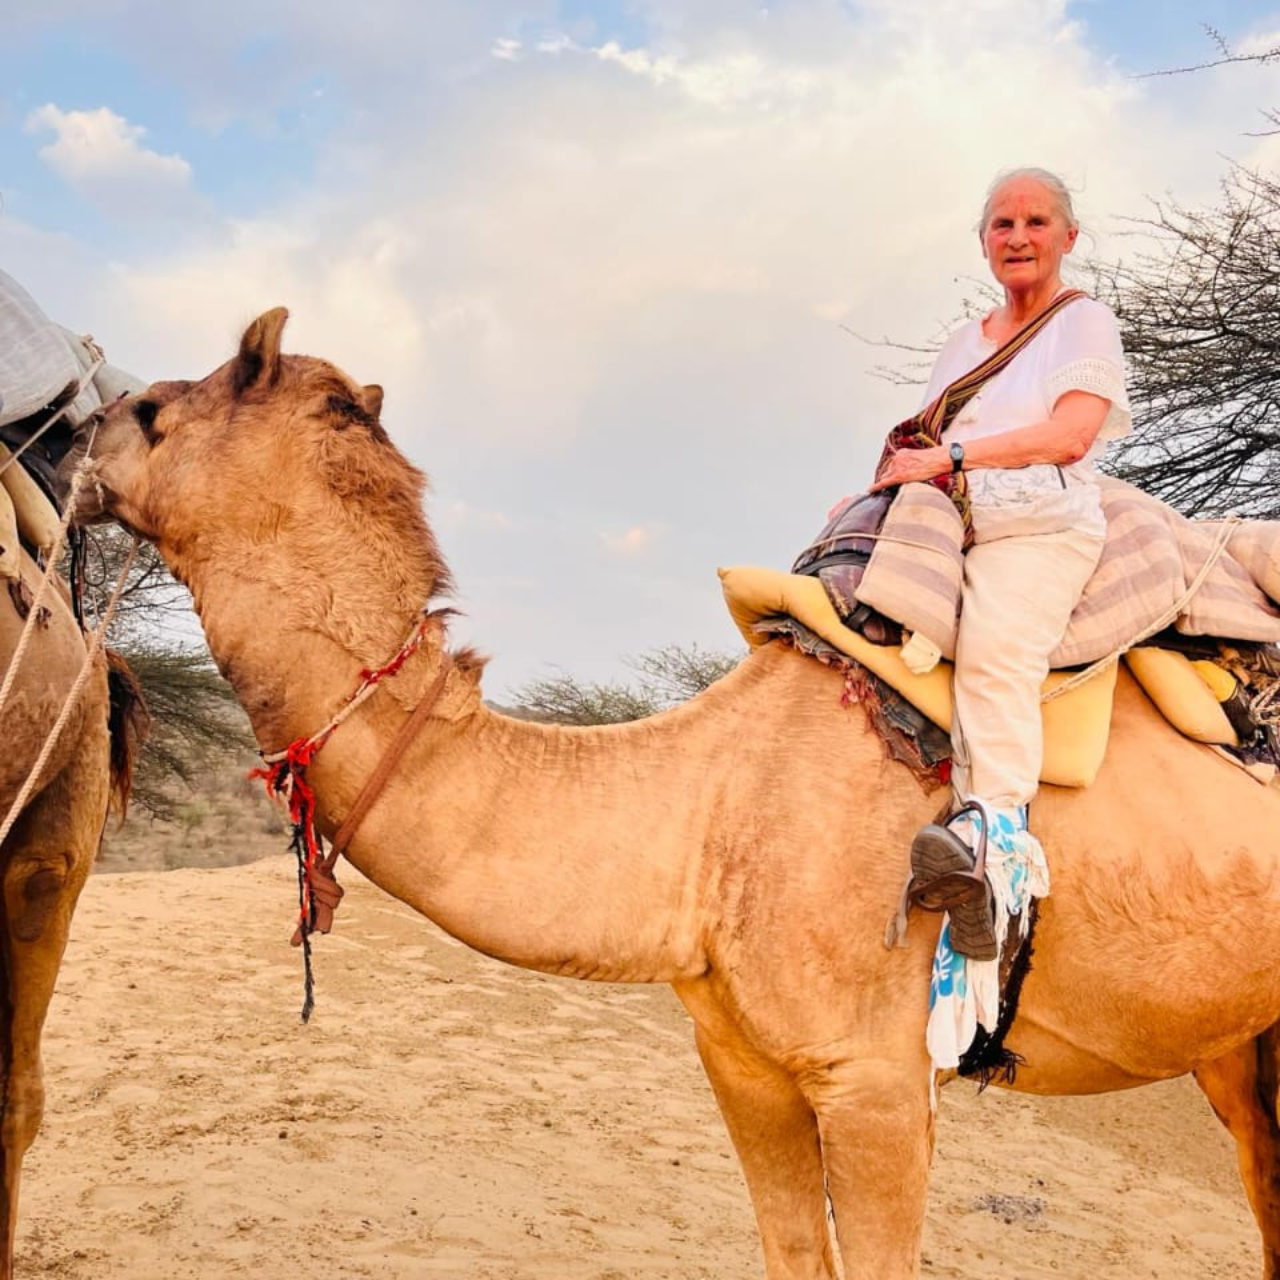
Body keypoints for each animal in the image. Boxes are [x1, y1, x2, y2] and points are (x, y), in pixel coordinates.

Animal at [62, 307, 1280, 1279]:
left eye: (157, 410)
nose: (82, 431)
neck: (705, 808)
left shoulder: (878, 1079)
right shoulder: (745, 1066)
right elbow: (790, 1251)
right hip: (1240, 1033)